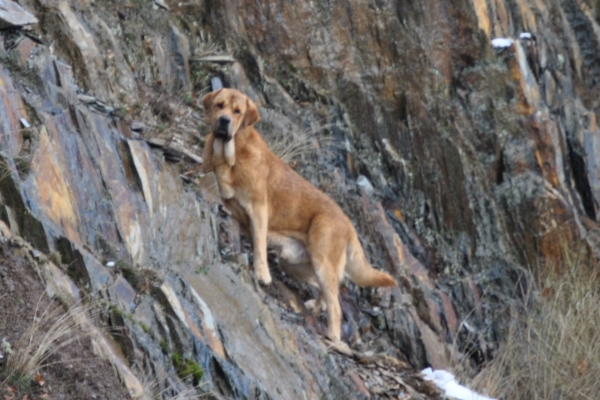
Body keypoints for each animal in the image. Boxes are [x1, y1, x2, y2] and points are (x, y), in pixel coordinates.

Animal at [203, 89, 398, 342]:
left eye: (237, 112)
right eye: (220, 105)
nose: (224, 121)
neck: (232, 155)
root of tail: (349, 225)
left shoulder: (259, 212)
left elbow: (258, 245)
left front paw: (261, 274)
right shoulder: (233, 212)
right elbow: (236, 237)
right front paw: (234, 254)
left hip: (322, 260)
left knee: (335, 305)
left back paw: (332, 337)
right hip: (296, 263)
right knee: (329, 293)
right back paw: (316, 307)